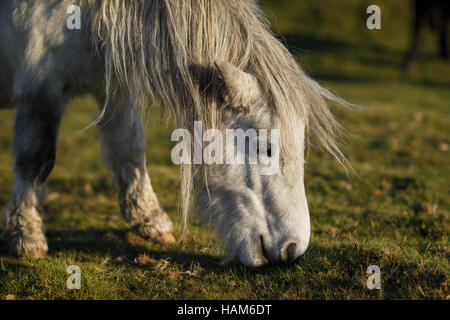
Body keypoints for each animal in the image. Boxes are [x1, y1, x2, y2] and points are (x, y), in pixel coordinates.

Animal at [0, 0, 348, 266]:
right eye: (267, 147)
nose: (294, 249)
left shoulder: (115, 89)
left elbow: (129, 149)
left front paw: (150, 220)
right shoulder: (41, 87)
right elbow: (36, 158)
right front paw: (27, 235)